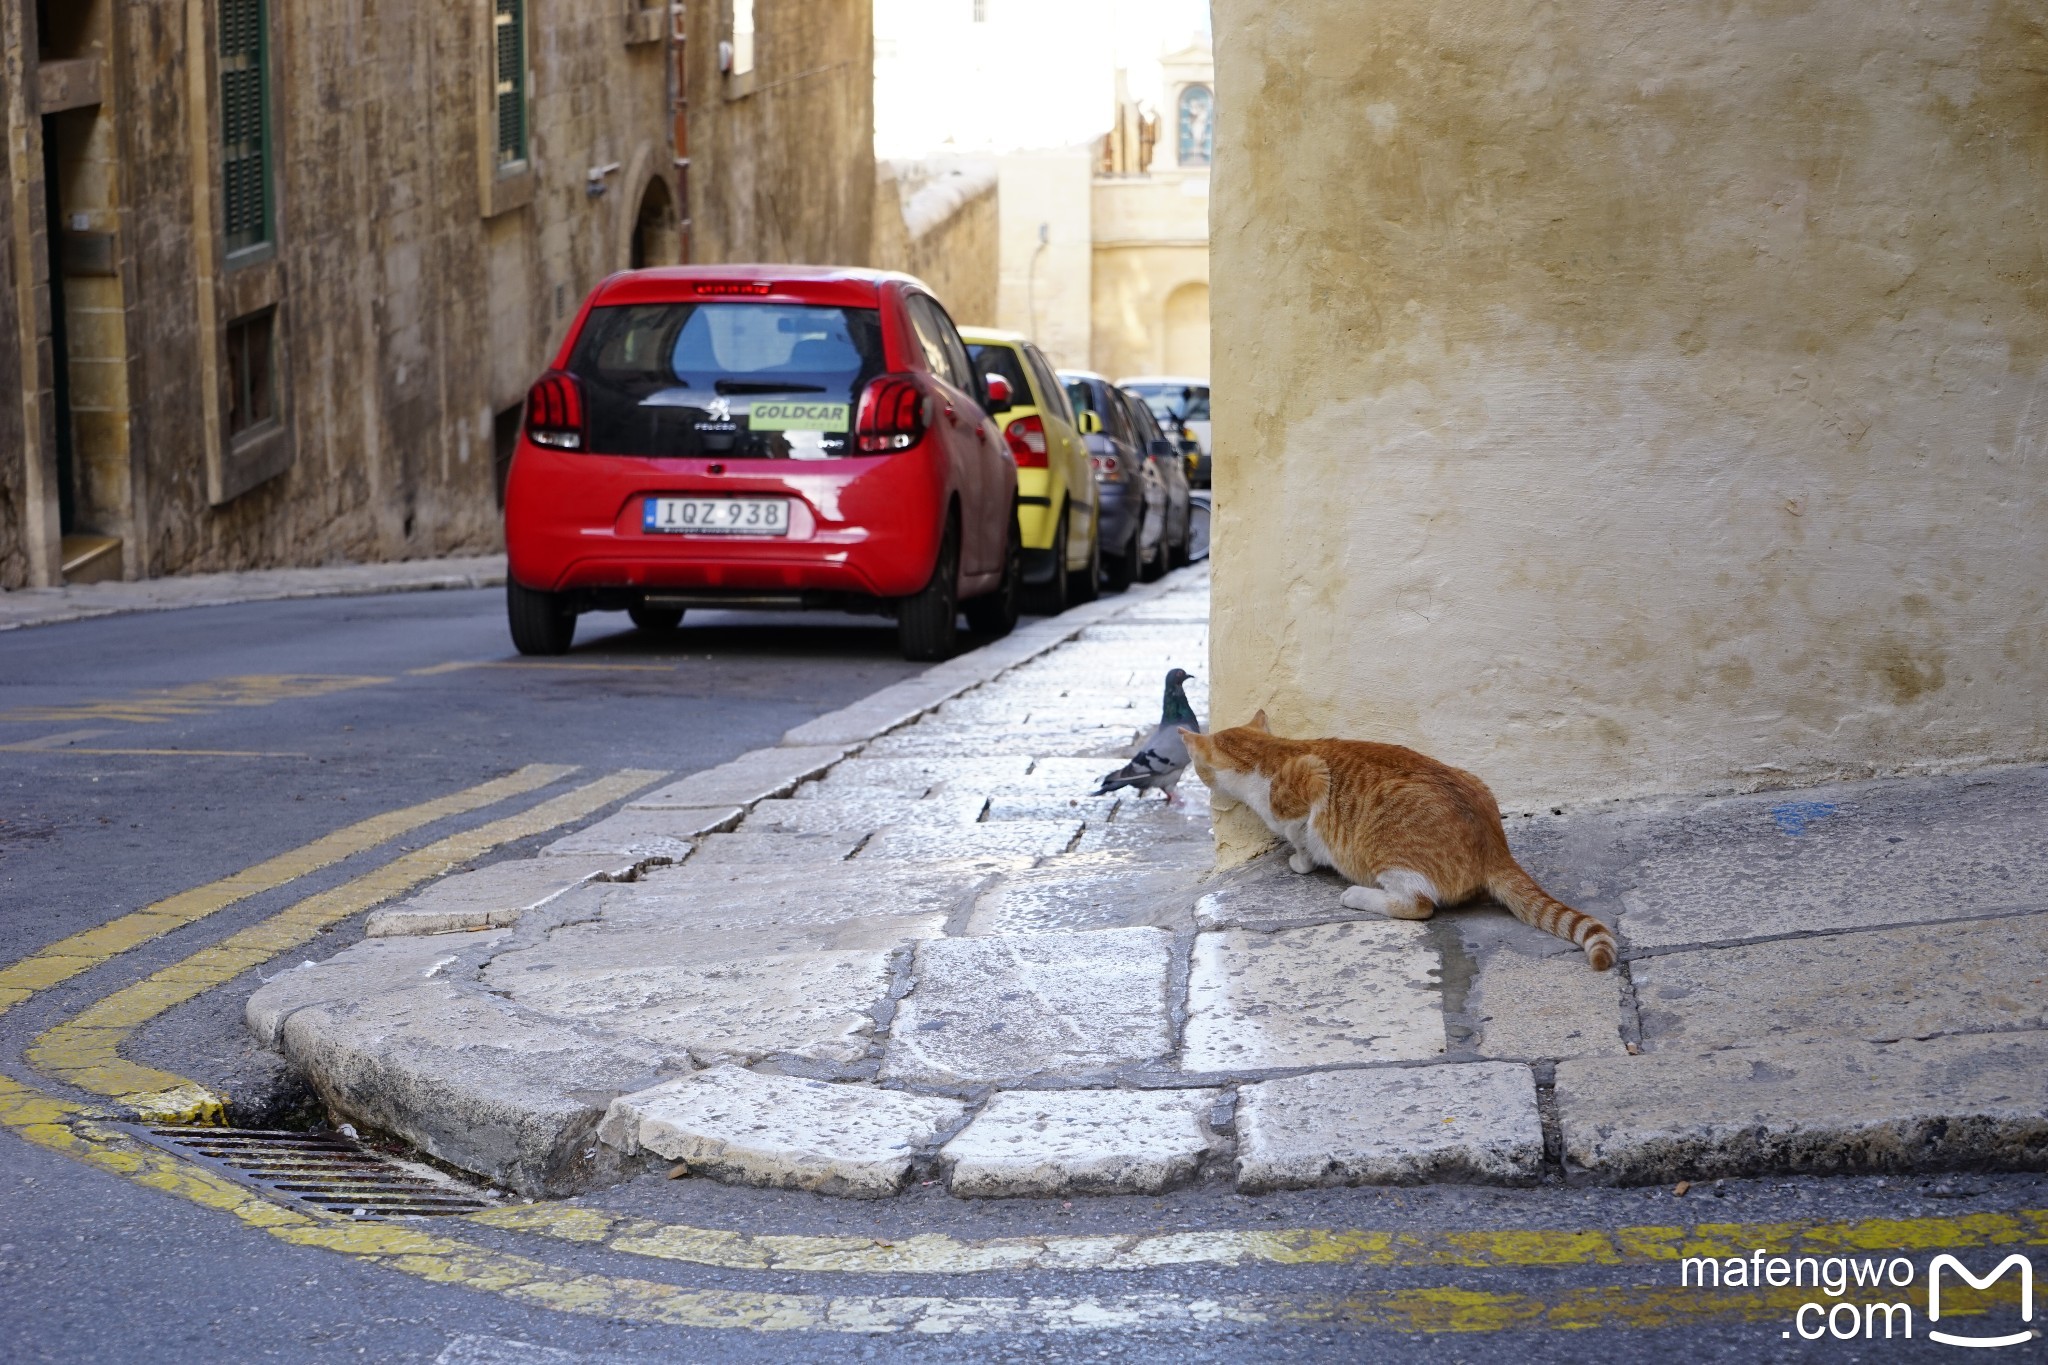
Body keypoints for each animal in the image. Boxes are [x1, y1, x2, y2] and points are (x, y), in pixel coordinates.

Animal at [1187, 716, 1613, 970]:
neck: (1271, 753)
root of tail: (1495, 847)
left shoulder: (1309, 783)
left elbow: (1301, 835)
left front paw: (1301, 861)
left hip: (1388, 856)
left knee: (1418, 906)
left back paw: (1357, 895)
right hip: (1474, 778)